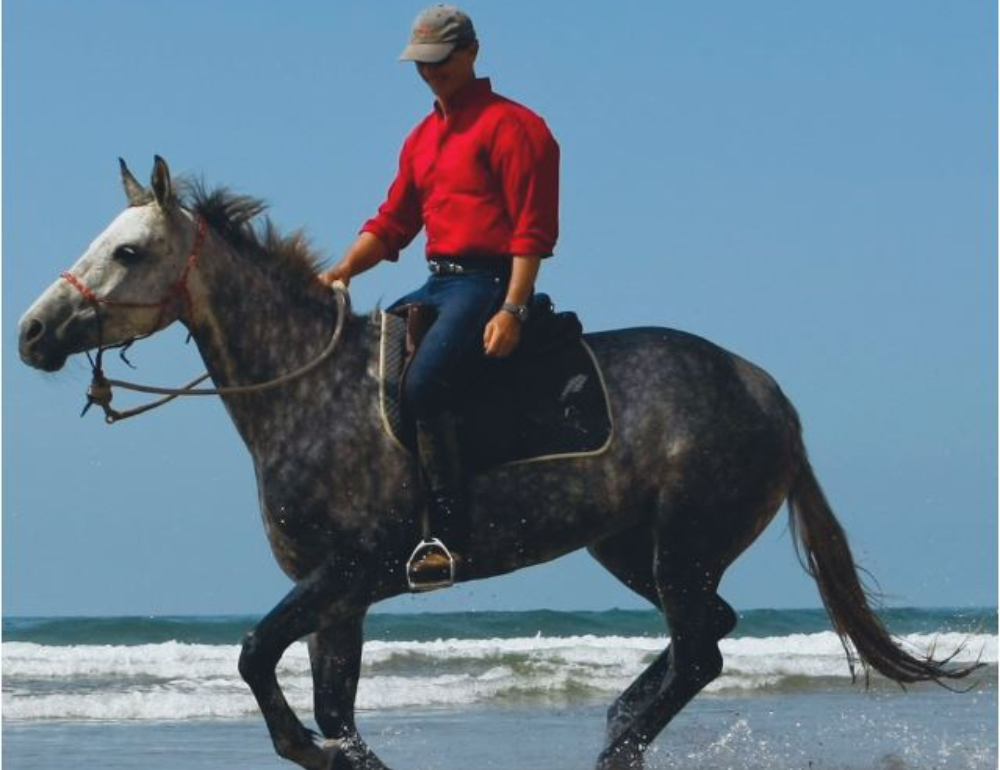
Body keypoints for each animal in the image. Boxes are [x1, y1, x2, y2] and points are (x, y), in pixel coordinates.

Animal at [17, 158, 976, 768]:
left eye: (130, 251)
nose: (31, 333)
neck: (311, 391)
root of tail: (765, 391)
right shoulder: (341, 598)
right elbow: (334, 707)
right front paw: (341, 755)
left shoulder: (348, 572)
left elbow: (257, 659)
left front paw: (310, 752)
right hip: (633, 549)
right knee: (710, 630)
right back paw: (621, 720)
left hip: (681, 543)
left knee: (701, 650)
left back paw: (619, 738)